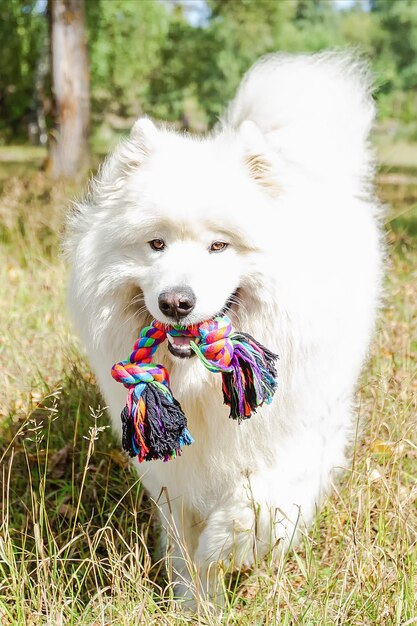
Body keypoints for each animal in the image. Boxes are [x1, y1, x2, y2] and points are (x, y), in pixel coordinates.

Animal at [66, 52, 382, 600]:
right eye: (156, 244)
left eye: (219, 245)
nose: (175, 302)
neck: (201, 385)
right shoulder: (174, 467)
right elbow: (182, 537)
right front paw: (194, 598)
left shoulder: (295, 437)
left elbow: (256, 506)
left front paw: (223, 551)